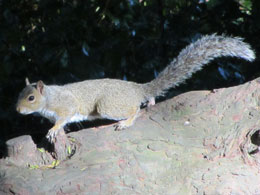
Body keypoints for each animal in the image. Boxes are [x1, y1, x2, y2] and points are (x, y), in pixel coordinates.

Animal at [16, 34, 256, 142]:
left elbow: (64, 117)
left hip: (107, 105)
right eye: (19, 94)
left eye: (31, 98)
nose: (18, 110)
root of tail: (138, 89)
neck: (48, 99)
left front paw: (54, 129)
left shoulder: (65, 105)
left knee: (135, 110)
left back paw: (126, 122)